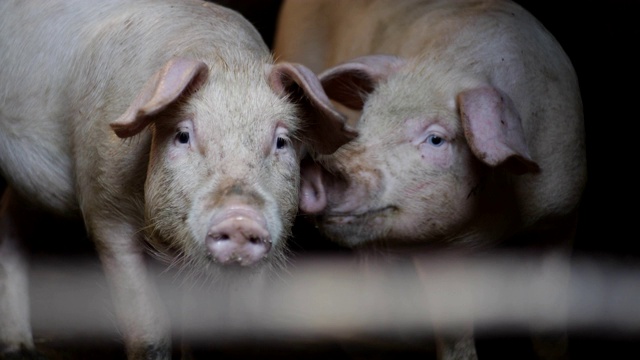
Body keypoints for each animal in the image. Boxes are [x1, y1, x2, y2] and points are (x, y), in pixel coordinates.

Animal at [0, 1, 358, 358]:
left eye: (281, 141)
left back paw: (19, 346)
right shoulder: (104, 210)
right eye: (183, 135)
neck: (227, 59)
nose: (240, 217)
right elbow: (148, 329)